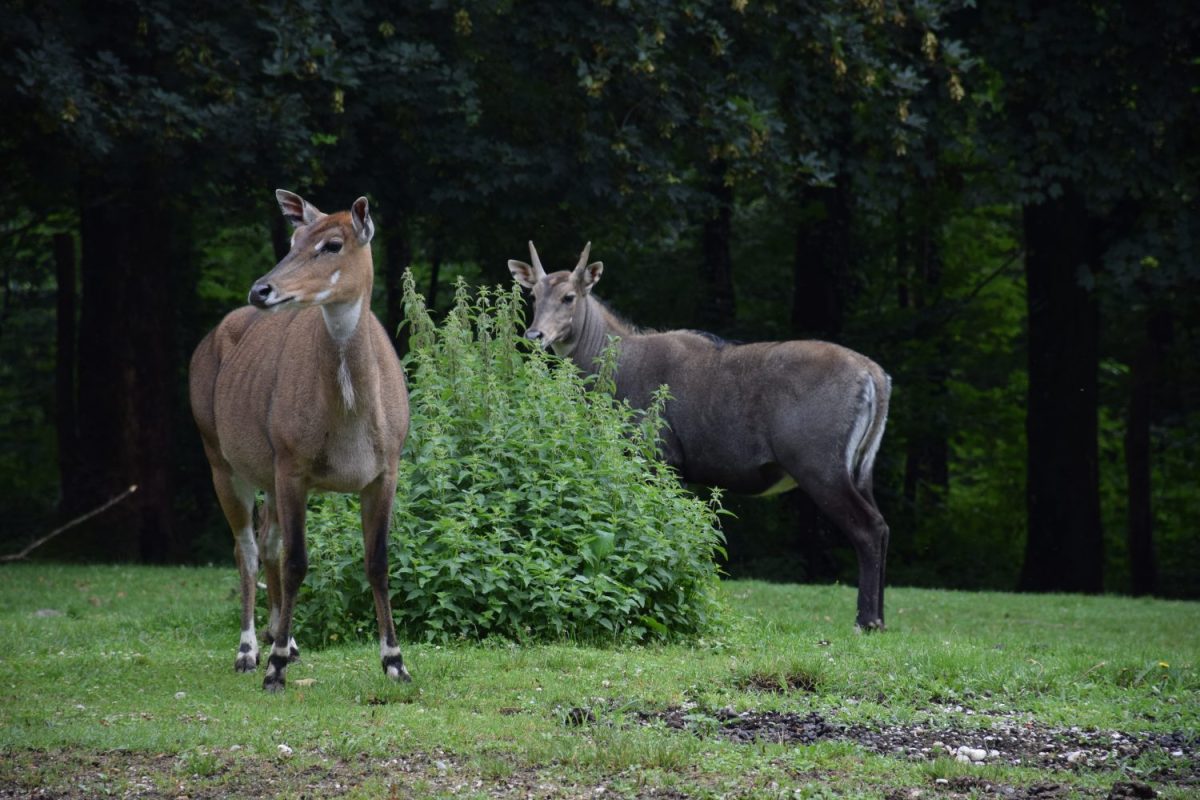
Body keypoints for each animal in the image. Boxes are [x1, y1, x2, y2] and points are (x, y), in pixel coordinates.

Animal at [188, 190, 412, 690]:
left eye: (332, 244)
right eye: (293, 240)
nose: (261, 290)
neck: (351, 420)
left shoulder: (385, 471)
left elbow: (378, 561)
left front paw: (395, 661)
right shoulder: (292, 466)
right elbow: (296, 562)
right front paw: (273, 671)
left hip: (265, 474)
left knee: (267, 541)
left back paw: (287, 641)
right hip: (222, 462)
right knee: (248, 549)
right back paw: (251, 650)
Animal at [506, 244, 892, 633]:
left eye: (569, 296)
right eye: (534, 294)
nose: (535, 335)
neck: (610, 365)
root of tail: (877, 377)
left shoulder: (660, 456)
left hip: (819, 466)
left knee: (868, 529)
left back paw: (866, 621)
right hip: (861, 468)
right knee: (884, 526)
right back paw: (880, 618)